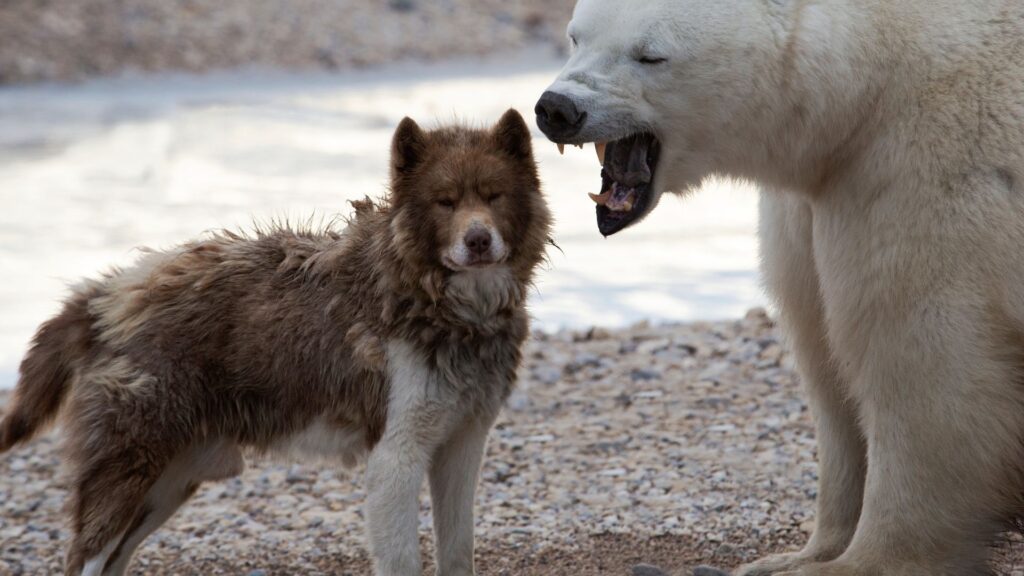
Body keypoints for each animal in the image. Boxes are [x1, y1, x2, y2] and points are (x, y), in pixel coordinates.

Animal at [0, 108, 552, 573]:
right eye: (446, 203)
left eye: (494, 196)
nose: (478, 240)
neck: (435, 301)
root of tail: (107, 291)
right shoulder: (395, 460)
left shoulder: (461, 449)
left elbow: (458, 551)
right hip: (130, 474)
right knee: (84, 560)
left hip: (167, 485)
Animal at [536, 1, 1024, 573]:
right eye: (576, 36)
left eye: (650, 54)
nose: (558, 109)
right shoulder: (812, 203)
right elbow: (824, 358)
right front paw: (796, 555)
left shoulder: (927, 171)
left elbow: (924, 366)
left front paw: (863, 561)